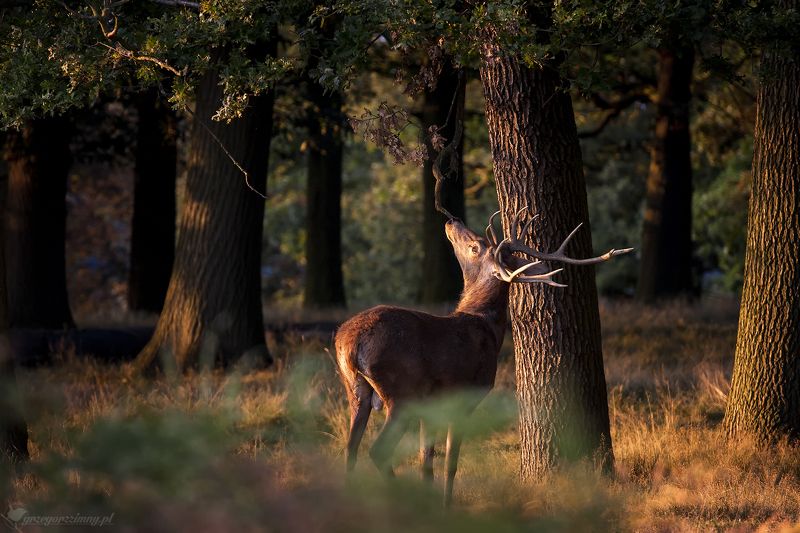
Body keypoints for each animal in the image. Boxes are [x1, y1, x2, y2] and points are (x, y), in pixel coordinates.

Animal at [334, 207, 632, 506]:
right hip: (401, 391)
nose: (452, 221)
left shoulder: (432, 404)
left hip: (356, 390)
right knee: (377, 450)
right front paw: (445, 505)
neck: (487, 326)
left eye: (476, 245)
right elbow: (450, 461)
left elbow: (426, 459)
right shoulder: (468, 393)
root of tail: (350, 343)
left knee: (350, 449)